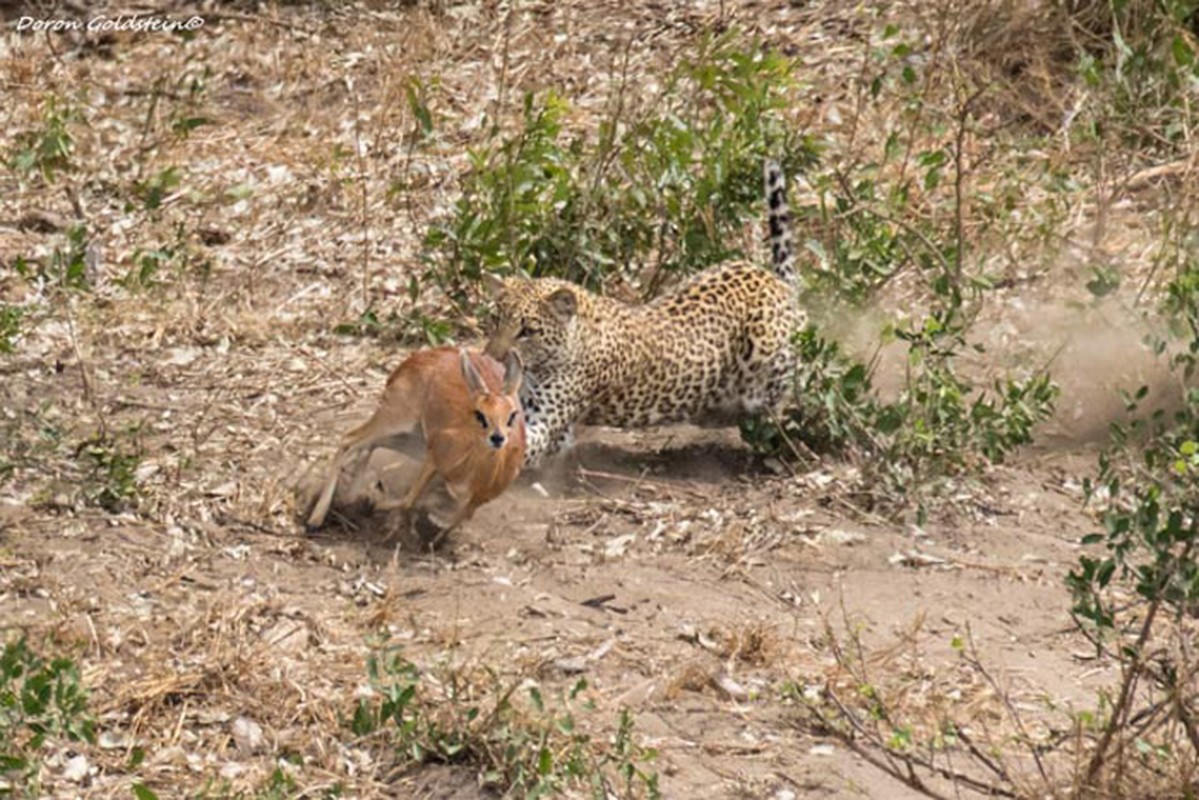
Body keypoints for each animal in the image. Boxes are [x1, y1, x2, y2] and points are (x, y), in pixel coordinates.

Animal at [304, 347, 525, 542]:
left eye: (512, 414)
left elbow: (454, 519)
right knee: (349, 439)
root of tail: (409, 362)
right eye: (479, 413)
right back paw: (316, 519)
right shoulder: (433, 458)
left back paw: (348, 499)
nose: (497, 438)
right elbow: (410, 500)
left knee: (369, 444)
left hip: (412, 439)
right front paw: (378, 509)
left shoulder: (476, 500)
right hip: (396, 420)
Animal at [479, 159, 805, 465]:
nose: (489, 360)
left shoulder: (546, 423)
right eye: (495, 320)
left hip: (767, 360)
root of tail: (776, 281)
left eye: (527, 332)